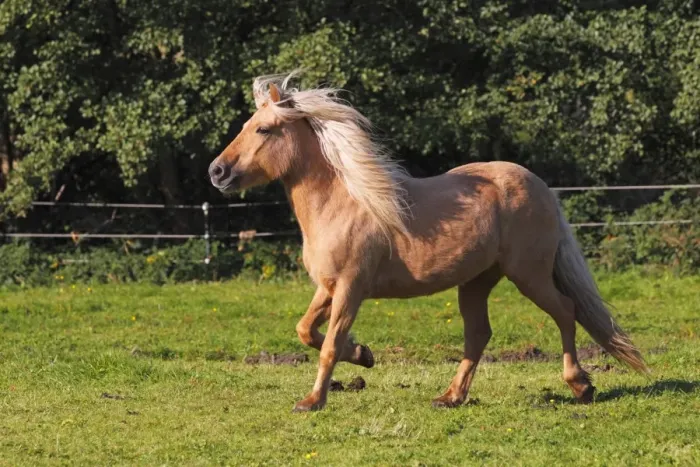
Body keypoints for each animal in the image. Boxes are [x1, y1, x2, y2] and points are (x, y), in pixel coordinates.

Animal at [208, 72, 647, 412]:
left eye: (263, 129)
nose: (217, 172)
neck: (344, 204)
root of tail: (542, 188)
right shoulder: (328, 287)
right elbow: (305, 330)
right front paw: (364, 355)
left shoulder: (351, 288)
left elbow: (329, 344)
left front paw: (312, 402)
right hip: (477, 281)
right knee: (479, 334)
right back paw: (450, 397)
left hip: (529, 274)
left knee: (565, 311)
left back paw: (580, 386)